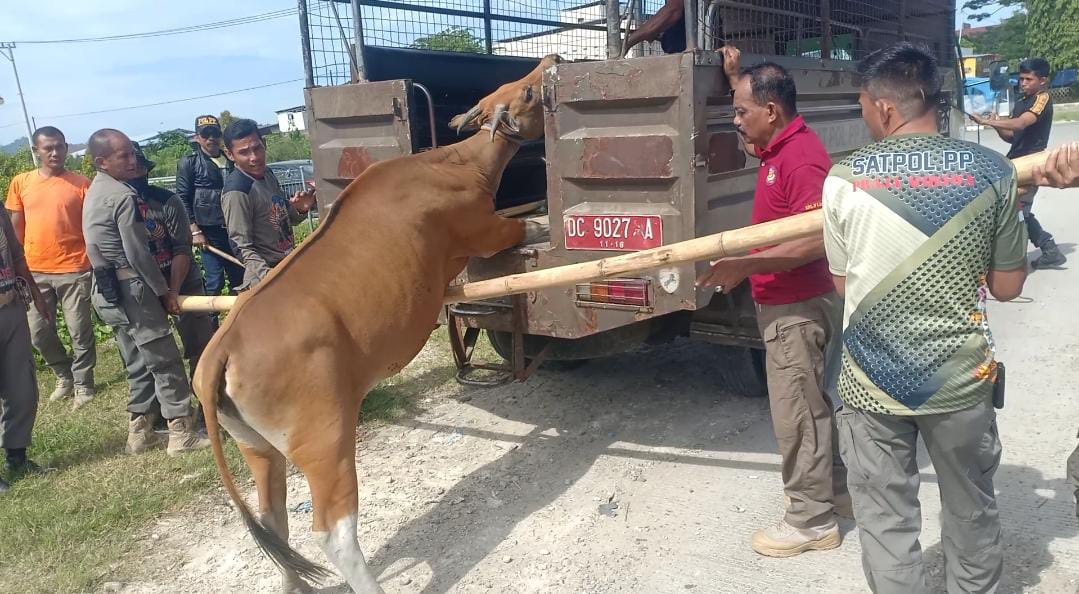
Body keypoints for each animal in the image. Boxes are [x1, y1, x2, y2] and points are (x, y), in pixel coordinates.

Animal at [195, 55, 565, 594]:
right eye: (530, 94)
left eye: (511, 85)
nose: (551, 59)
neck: (453, 162)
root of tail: (221, 351)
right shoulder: (487, 230)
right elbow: (522, 225)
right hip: (325, 439)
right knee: (333, 533)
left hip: (257, 447)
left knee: (273, 524)